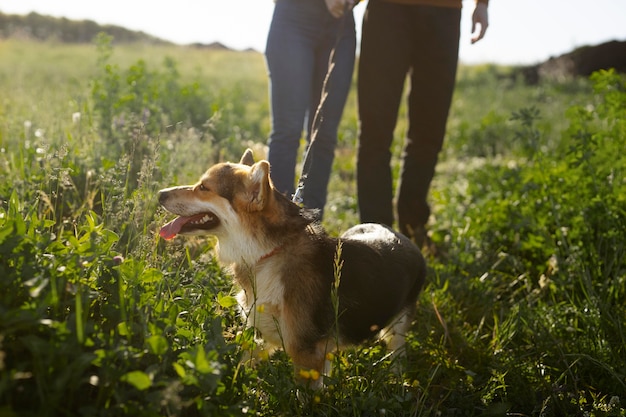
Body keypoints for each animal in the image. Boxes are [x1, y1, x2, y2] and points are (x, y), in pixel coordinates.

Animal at [158, 149, 426, 386]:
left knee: (397, 352)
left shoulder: (305, 353)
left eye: (204, 188)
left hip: (398, 328)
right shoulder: (260, 336)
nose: (160, 193)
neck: (266, 254)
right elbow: (242, 365)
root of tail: (406, 239)